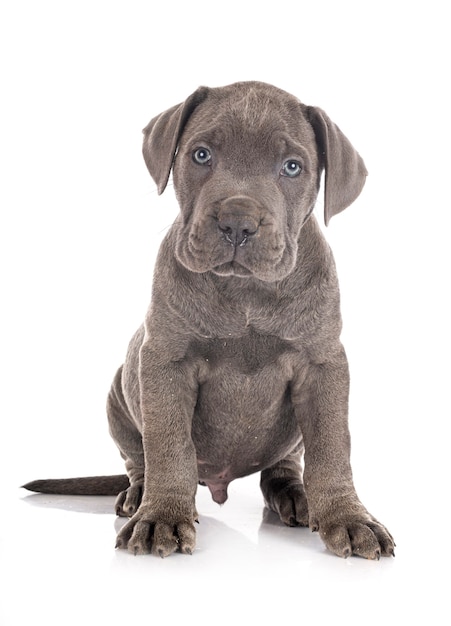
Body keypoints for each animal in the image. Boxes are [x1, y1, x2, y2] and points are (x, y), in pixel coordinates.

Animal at [23, 81, 396, 556]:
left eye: (292, 167)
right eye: (201, 155)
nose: (238, 221)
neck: (245, 294)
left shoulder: (323, 365)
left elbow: (332, 448)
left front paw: (349, 518)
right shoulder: (165, 361)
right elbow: (169, 446)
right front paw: (162, 516)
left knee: (284, 465)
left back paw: (296, 495)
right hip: (118, 393)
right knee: (138, 459)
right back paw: (139, 494)